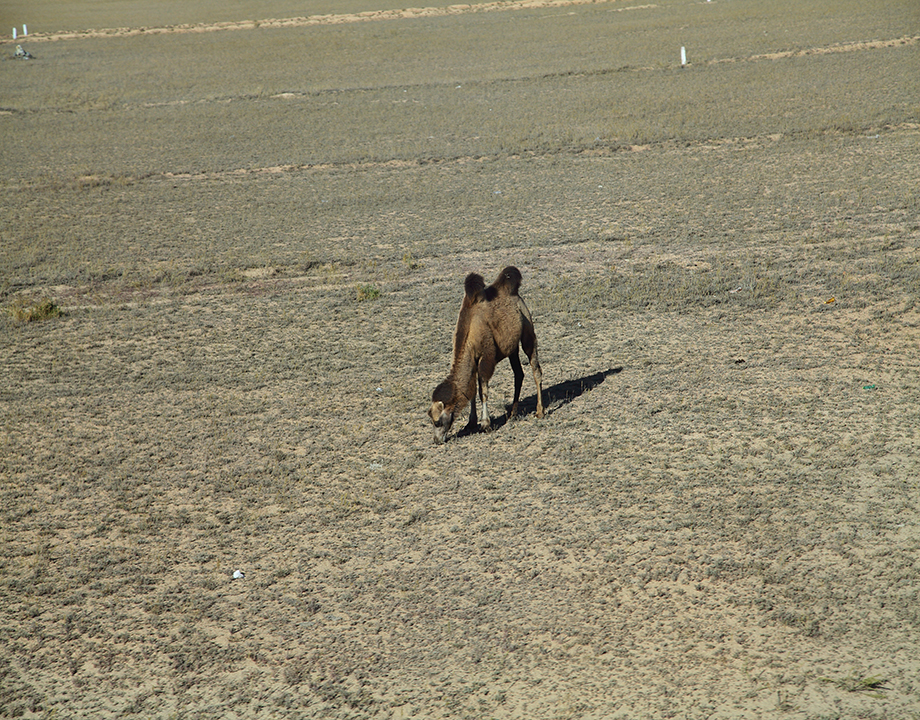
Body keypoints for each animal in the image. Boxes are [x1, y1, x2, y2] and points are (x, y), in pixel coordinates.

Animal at [428, 266, 544, 444]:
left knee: (535, 368)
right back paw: (512, 414)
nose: (436, 440)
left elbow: (483, 391)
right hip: (512, 348)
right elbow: (473, 390)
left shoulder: (485, 357)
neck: (470, 331)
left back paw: (540, 412)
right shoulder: (473, 360)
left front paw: (485, 424)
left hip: (527, 329)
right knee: (519, 374)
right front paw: (471, 422)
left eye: (437, 421)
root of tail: (515, 294)